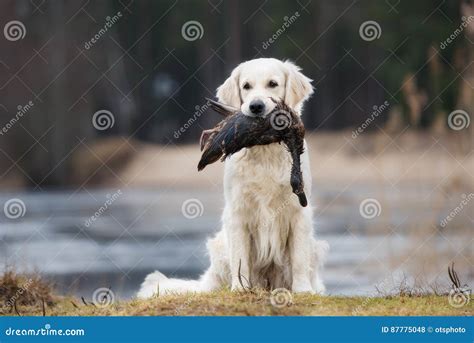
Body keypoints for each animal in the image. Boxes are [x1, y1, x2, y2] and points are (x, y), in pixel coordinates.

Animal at [139, 57, 328, 296]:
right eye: (246, 86)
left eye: (273, 84)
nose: (256, 107)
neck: (264, 149)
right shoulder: (237, 211)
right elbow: (240, 256)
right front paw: (240, 288)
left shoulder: (298, 210)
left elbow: (299, 257)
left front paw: (302, 289)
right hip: (220, 245)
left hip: (316, 246)